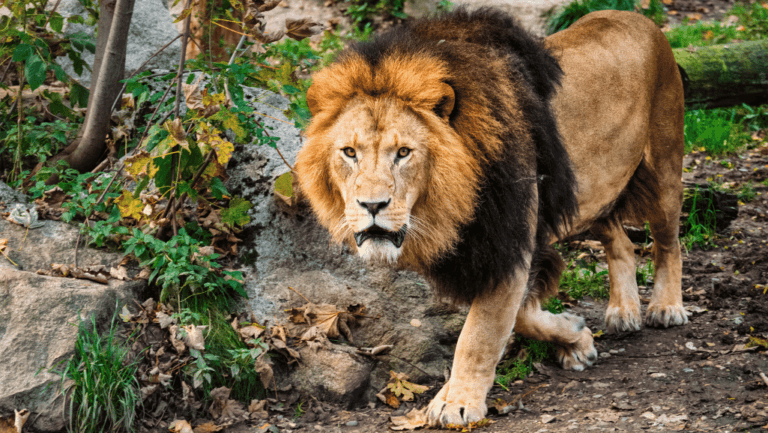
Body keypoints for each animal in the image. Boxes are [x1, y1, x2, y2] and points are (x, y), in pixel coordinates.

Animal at [294, 7, 686, 427]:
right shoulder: (483, 251)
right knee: (621, 243)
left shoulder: (510, 241)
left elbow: (481, 333)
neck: (452, 206)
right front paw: (576, 336)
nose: (372, 206)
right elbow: (521, 315)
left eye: (403, 153)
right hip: (591, 191)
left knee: (668, 241)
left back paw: (666, 307)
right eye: (349, 152)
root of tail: (639, 19)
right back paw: (623, 311)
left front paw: (457, 401)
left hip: (663, 166)